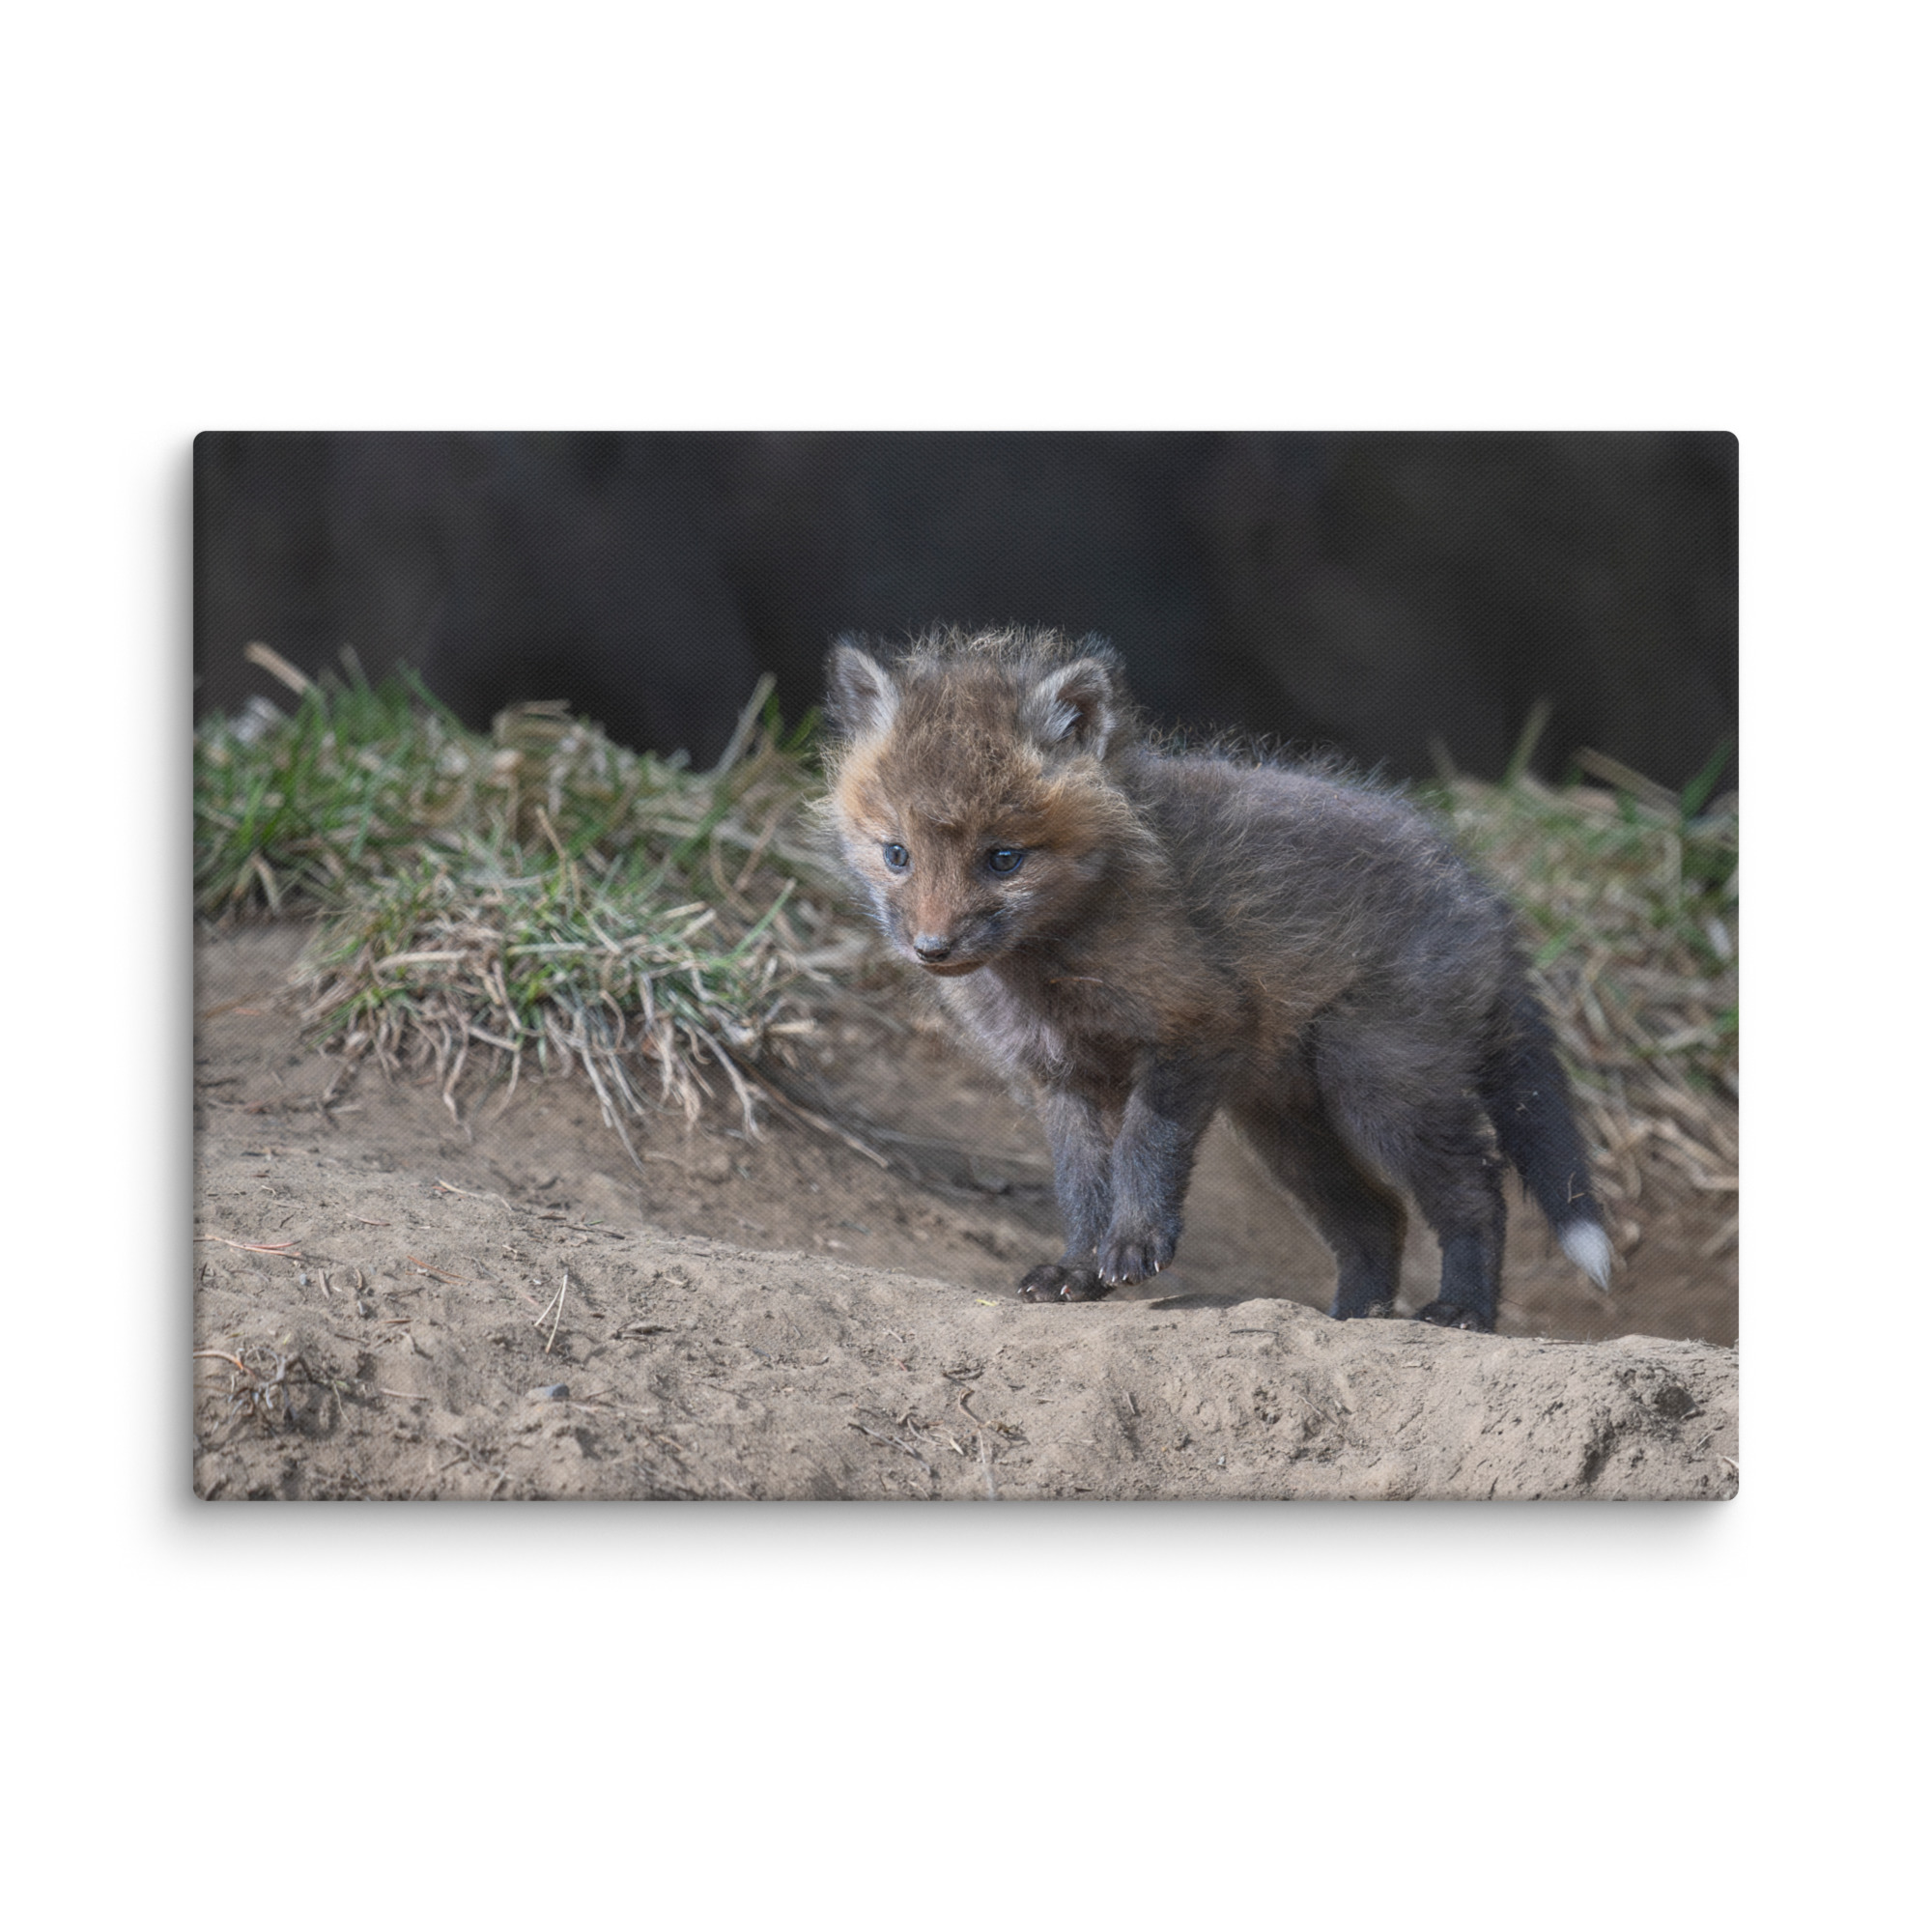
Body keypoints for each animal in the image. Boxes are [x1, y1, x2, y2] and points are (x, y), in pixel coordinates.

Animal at [822, 626, 1612, 1331]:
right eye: (896, 854)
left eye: (1003, 858)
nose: (932, 948)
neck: (1050, 971)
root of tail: (1483, 896)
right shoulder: (1061, 1077)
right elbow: (1081, 1186)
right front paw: (1078, 1270)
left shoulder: (1195, 1025)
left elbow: (1145, 1148)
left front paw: (1135, 1244)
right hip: (1286, 1125)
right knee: (1377, 1217)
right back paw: (1353, 1317)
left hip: (1380, 1085)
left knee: (1476, 1190)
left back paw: (1462, 1311)